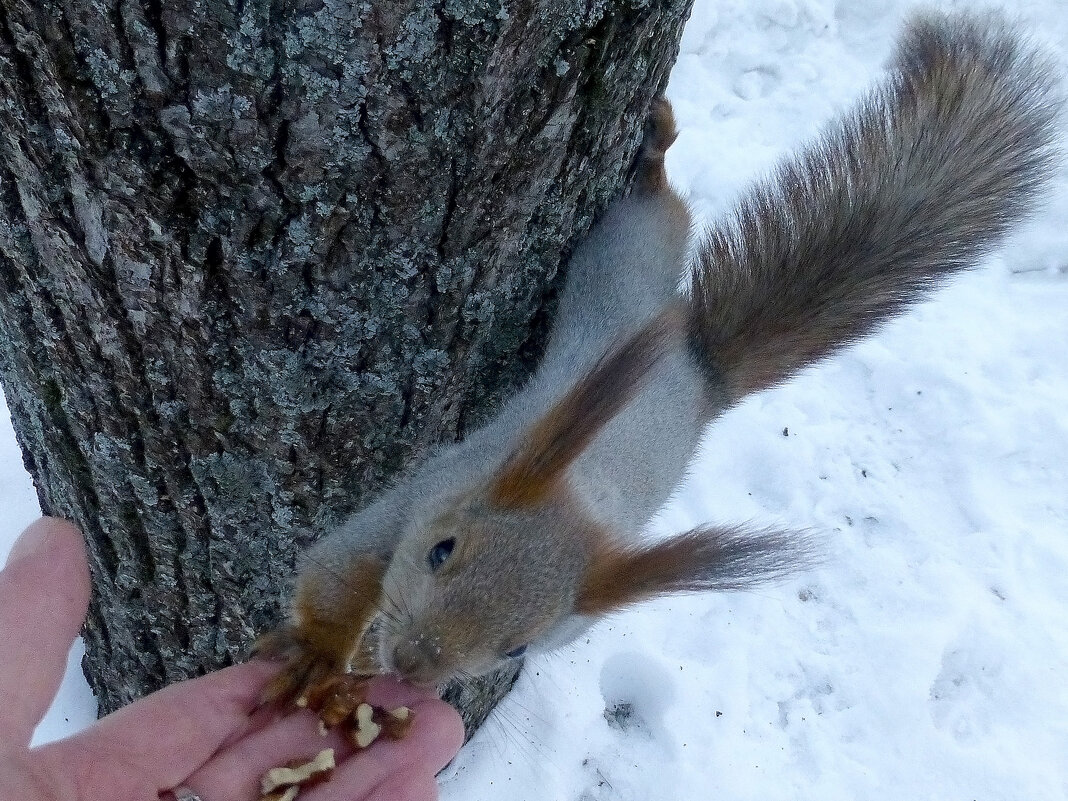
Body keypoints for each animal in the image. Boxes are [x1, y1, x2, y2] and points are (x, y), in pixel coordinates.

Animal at [254, 12, 1063, 700]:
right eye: (441, 551)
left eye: (520, 646)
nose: (416, 667)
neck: (573, 495)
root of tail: (698, 371)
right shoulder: (424, 493)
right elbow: (336, 570)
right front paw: (318, 656)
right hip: (628, 252)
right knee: (657, 203)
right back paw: (655, 153)